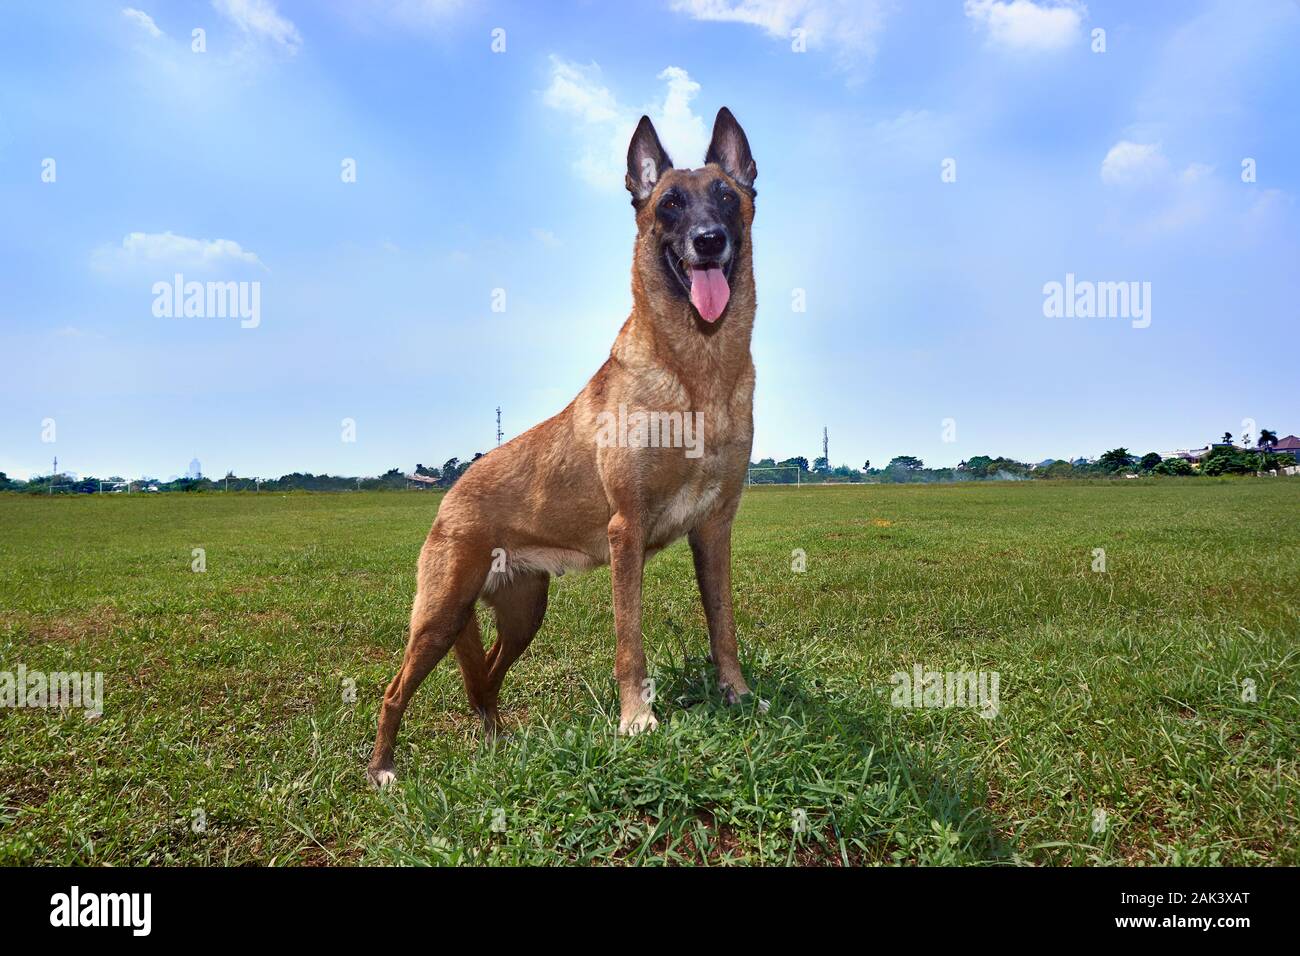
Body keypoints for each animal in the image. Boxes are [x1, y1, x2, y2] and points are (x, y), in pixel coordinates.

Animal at [366, 108, 759, 790]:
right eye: (671, 204)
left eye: (727, 197)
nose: (709, 240)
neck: (697, 371)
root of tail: (450, 494)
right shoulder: (627, 530)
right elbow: (630, 640)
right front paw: (636, 719)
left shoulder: (714, 529)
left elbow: (723, 626)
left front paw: (734, 693)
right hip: (440, 616)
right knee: (395, 693)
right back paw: (384, 769)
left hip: (524, 613)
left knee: (485, 680)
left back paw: (496, 742)